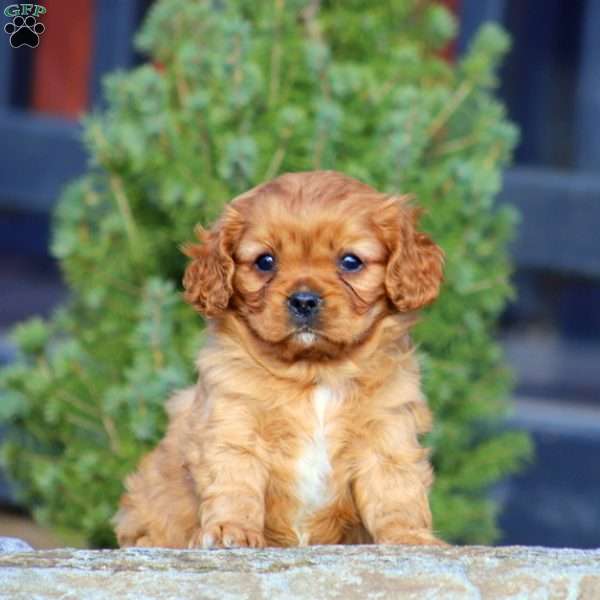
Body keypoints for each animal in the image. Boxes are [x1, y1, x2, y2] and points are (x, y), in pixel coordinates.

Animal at [115, 169, 446, 548]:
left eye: (350, 262)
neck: (314, 372)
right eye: (265, 261)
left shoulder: (388, 431)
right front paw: (230, 530)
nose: (303, 300)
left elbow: (395, 491)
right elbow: (234, 483)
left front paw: (409, 537)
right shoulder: (233, 423)